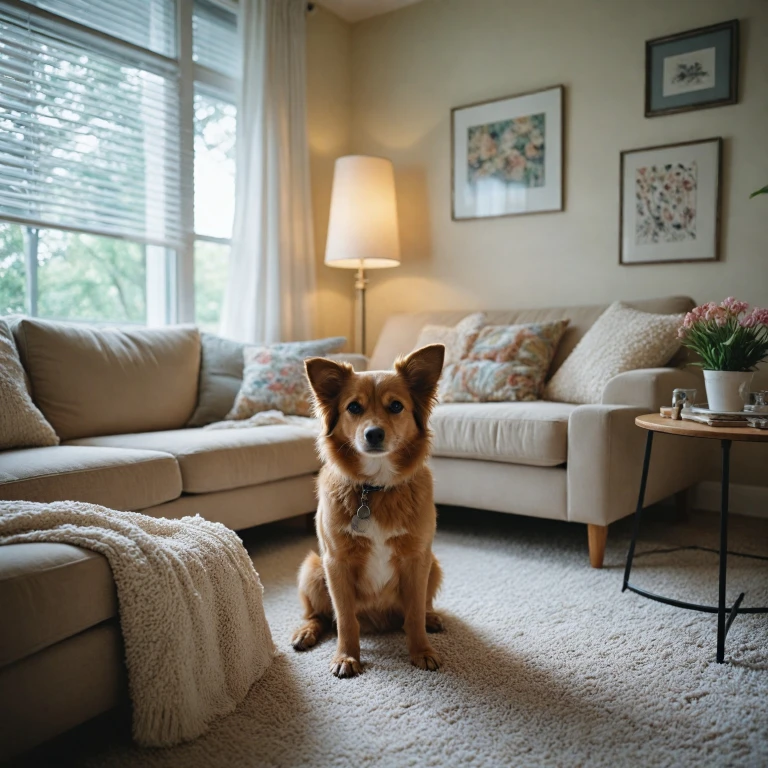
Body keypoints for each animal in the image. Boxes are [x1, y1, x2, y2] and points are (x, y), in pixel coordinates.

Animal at [288, 344, 444, 676]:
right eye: (354, 407)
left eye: (396, 406)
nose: (373, 434)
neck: (375, 489)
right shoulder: (336, 562)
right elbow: (345, 620)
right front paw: (347, 657)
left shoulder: (418, 558)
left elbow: (414, 615)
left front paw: (422, 650)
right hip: (312, 568)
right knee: (319, 616)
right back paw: (305, 632)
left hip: (434, 564)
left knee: (418, 610)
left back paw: (432, 618)